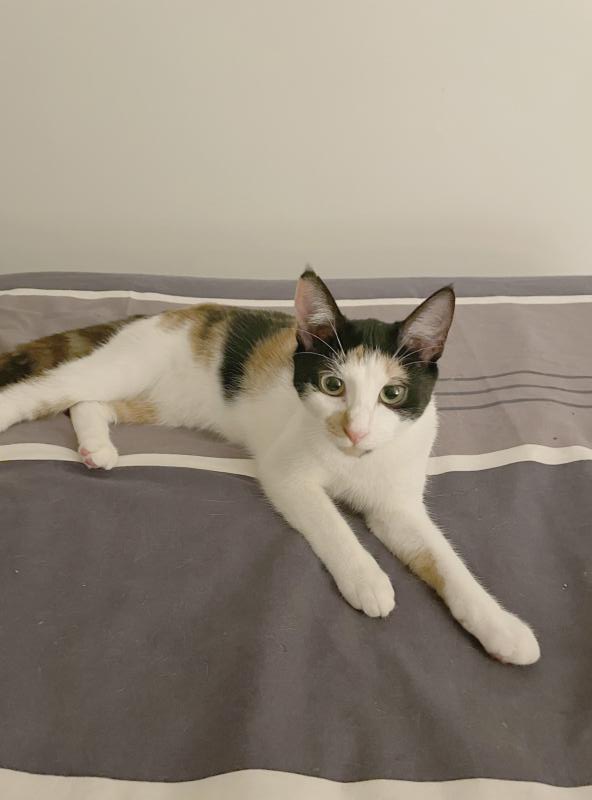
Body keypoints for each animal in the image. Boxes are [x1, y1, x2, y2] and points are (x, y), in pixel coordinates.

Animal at [0, 270, 540, 665]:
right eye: (332, 385)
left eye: (393, 393)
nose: (356, 431)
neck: (355, 462)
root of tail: (169, 314)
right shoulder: (287, 474)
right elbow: (333, 523)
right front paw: (368, 579)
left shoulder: (398, 505)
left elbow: (446, 561)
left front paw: (502, 627)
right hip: (124, 367)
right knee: (47, 391)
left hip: (168, 402)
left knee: (86, 404)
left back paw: (97, 447)